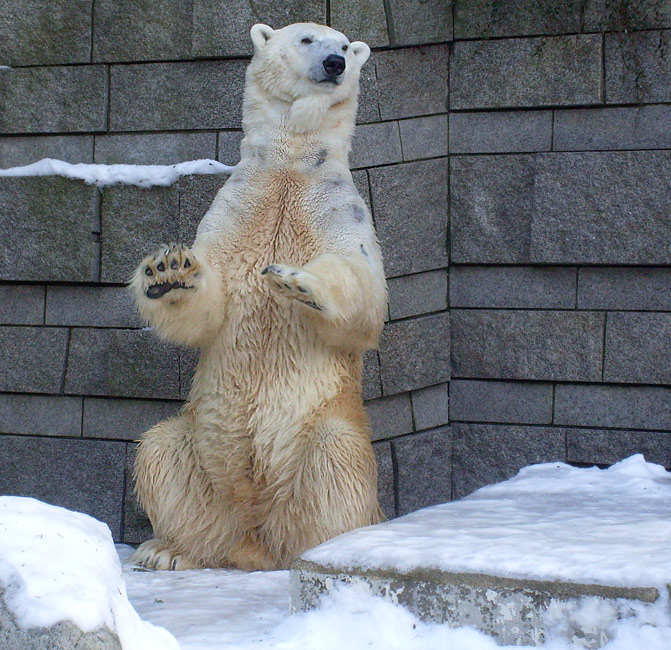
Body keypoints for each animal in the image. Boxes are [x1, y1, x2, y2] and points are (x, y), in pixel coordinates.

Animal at [129, 21, 388, 568]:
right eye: (308, 39)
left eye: (344, 45)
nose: (336, 63)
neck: (291, 166)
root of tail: (255, 539)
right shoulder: (237, 204)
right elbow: (211, 304)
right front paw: (167, 270)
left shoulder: (338, 206)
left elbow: (363, 291)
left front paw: (298, 280)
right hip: (200, 464)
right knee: (159, 449)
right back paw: (169, 550)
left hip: (324, 437)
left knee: (338, 461)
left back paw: (323, 549)